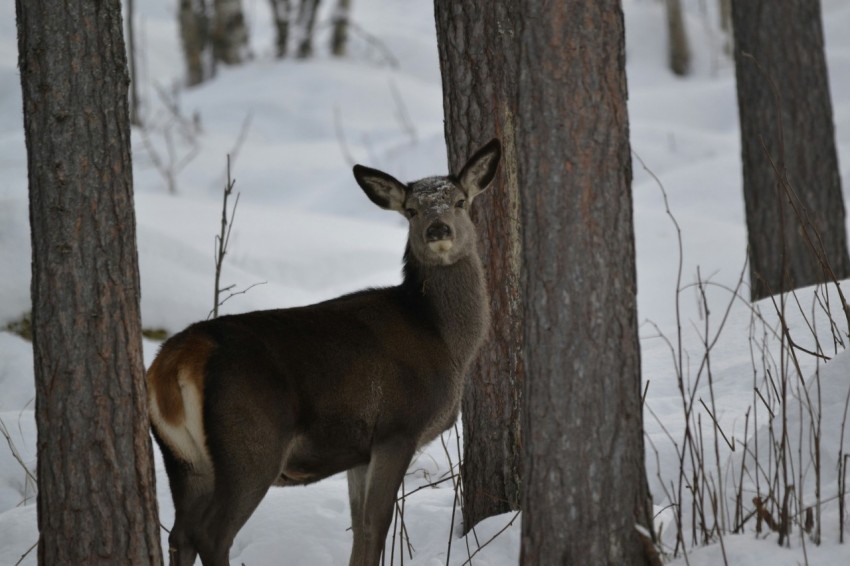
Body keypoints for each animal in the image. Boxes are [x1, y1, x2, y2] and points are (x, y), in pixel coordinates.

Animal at [146, 139, 502, 566]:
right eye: (412, 210)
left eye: (460, 201)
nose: (438, 229)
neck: (443, 339)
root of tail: (175, 361)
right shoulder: (398, 428)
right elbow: (377, 524)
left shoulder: (359, 452)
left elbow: (359, 528)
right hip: (250, 444)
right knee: (212, 534)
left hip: (182, 459)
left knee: (180, 534)